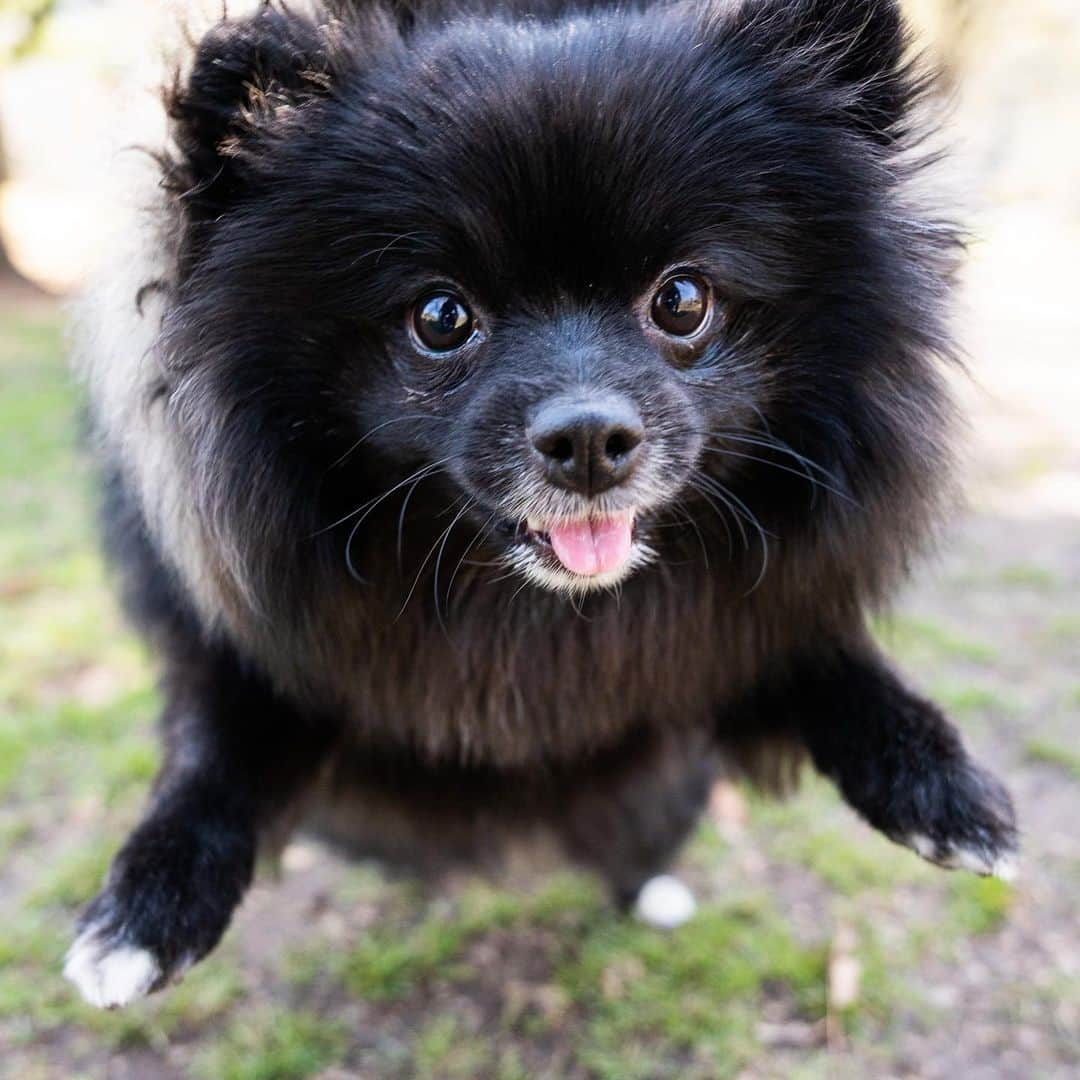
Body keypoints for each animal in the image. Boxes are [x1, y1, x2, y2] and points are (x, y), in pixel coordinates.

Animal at [65, 0, 1010, 1010]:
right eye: (440, 318)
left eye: (682, 300)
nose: (589, 436)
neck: (534, 616)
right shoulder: (255, 639)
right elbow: (217, 746)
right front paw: (150, 904)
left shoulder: (737, 627)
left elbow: (825, 658)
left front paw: (934, 779)